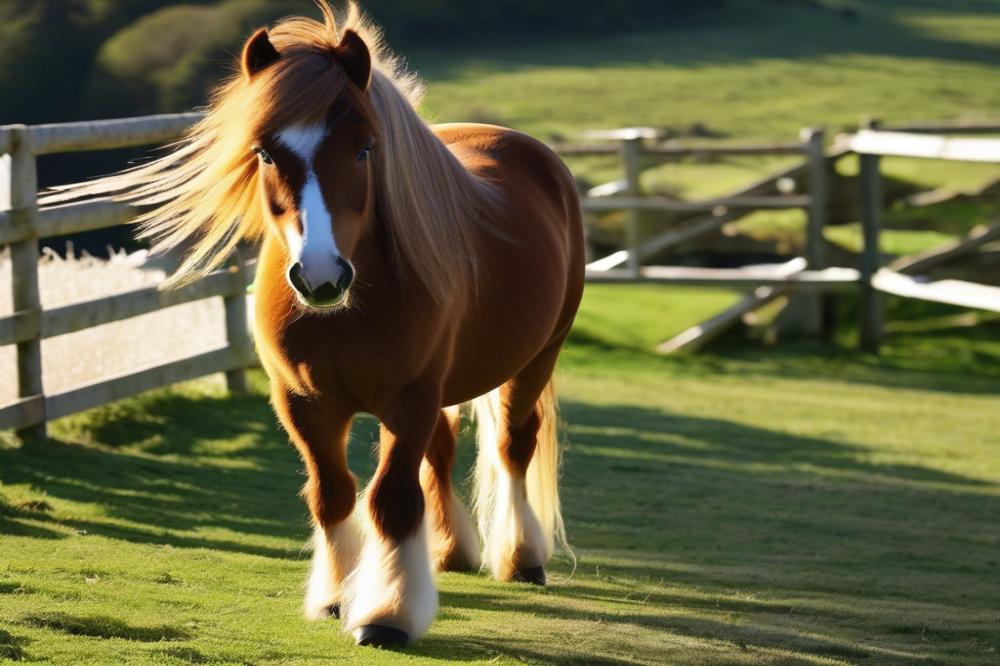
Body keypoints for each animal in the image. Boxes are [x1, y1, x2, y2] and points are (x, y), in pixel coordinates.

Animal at [47, 0, 584, 644]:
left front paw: (386, 614)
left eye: (364, 149)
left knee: (513, 445)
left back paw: (521, 557)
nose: (321, 277)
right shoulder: (303, 402)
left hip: (537, 358)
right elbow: (333, 495)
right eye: (265, 152)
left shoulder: (408, 398)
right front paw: (335, 596)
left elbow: (390, 499)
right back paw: (453, 552)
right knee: (444, 450)